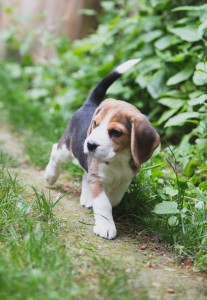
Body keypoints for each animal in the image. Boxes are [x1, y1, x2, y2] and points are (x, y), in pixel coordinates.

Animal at [44, 59, 159, 240]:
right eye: (95, 124)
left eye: (116, 132)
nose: (90, 144)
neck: (118, 158)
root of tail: (89, 104)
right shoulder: (97, 177)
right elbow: (104, 203)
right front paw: (105, 225)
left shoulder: (125, 179)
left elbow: (114, 199)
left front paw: (102, 207)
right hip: (66, 149)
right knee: (56, 151)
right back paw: (50, 175)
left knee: (85, 173)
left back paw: (86, 197)